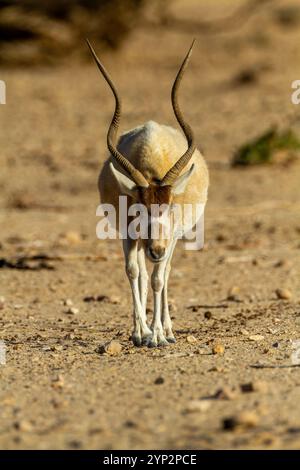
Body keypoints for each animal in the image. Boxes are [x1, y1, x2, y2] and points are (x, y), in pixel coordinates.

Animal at [86, 40, 209, 346]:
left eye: (170, 207)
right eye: (139, 209)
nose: (156, 249)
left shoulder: (171, 236)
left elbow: (158, 279)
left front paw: (157, 336)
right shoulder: (128, 233)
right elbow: (133, 271)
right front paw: (141, 333)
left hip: (171, 241)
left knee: (163, 274)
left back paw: (167, 331)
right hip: (139, 240)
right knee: (142, 271)